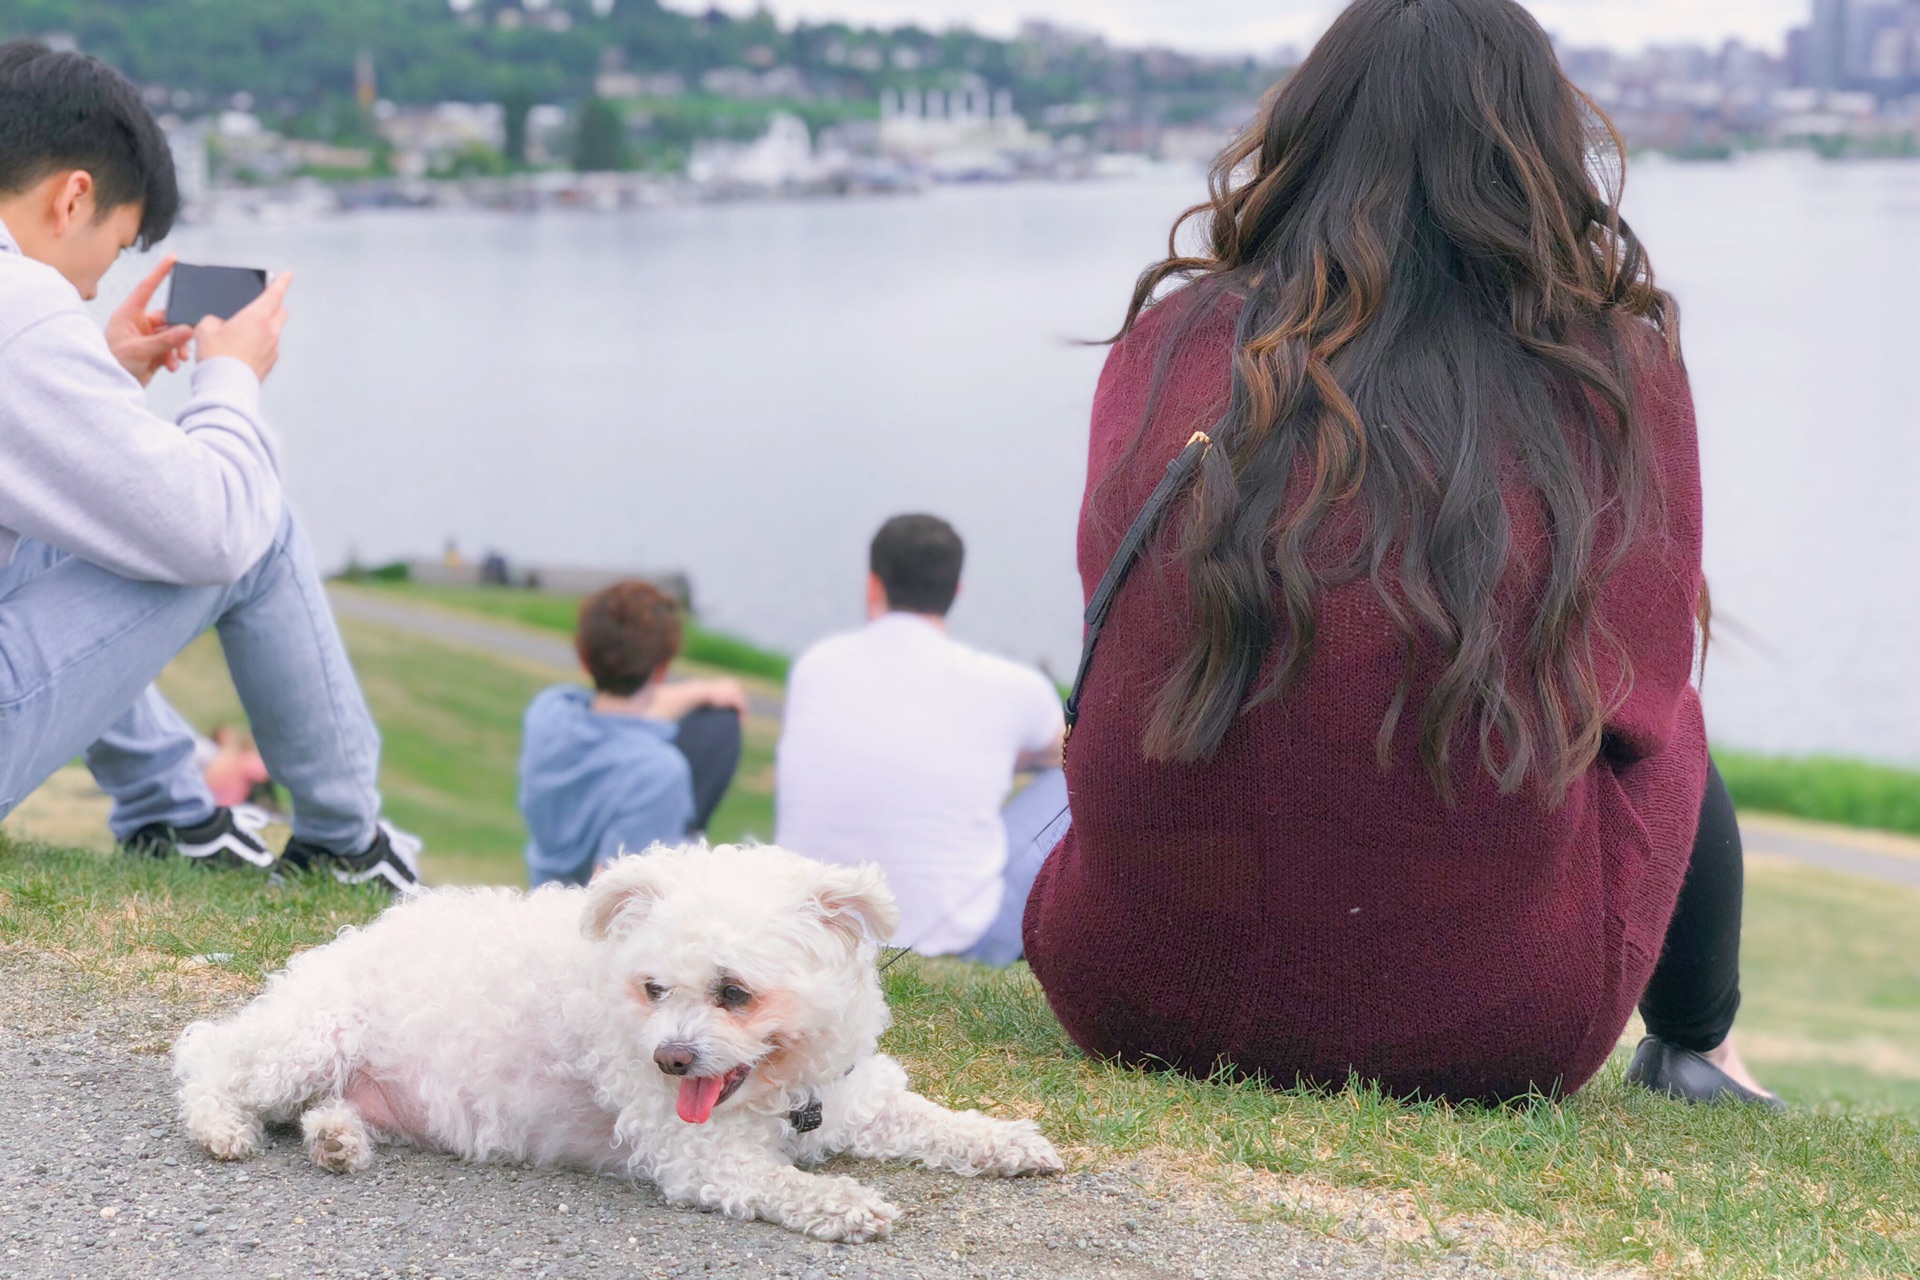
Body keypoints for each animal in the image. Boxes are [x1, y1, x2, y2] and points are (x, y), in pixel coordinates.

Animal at [170, 844, 1059, 1235]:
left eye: (734, 992)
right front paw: (845, 1203)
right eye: (653, 988)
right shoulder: (703, 1159)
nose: (669, 1058)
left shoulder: (855, 1097)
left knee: (322, 1110)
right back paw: (223, 1127)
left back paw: (336, 1141)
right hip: (305, 1042)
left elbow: (938, 1123)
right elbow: (785, 1183)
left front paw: (1007, 1142)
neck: (784, 1085)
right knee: (209, 1062)